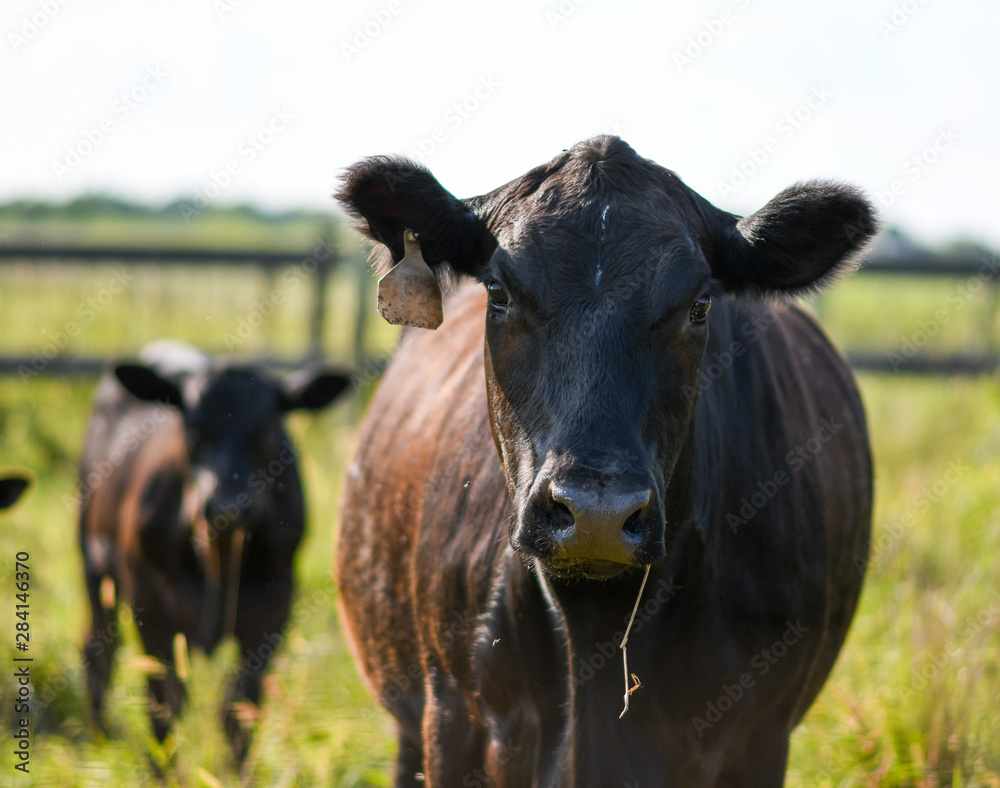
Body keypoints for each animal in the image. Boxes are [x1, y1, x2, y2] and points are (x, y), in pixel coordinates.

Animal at [76, 344, 348, 764]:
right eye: (193, 428)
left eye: (266, 429)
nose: (226, 506)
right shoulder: (151, 603)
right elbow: (165, 705)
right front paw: (165, 773)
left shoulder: (274, 607)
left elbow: (238, 710)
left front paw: (234, 773)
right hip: (94, 564)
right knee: (98, 655)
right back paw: (98, 741)